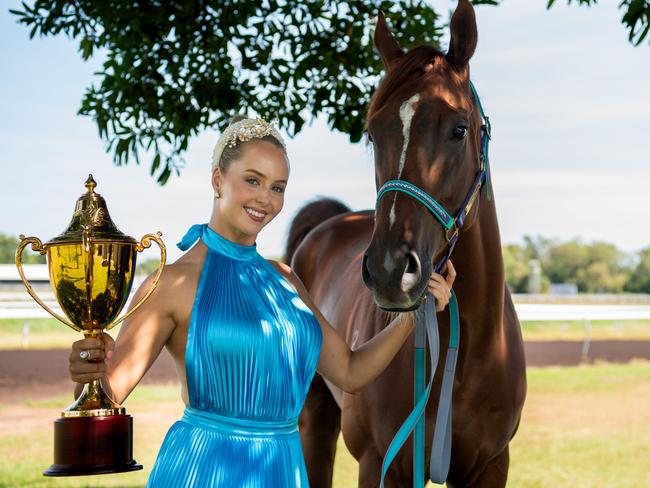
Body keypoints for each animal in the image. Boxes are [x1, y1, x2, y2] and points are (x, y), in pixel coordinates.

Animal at [286, 1, 524, 486]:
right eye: (372, 133)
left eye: (459, 129)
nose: (390, 271)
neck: (468, 353)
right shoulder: (381, 463)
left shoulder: (492, 464)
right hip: (315, 417)